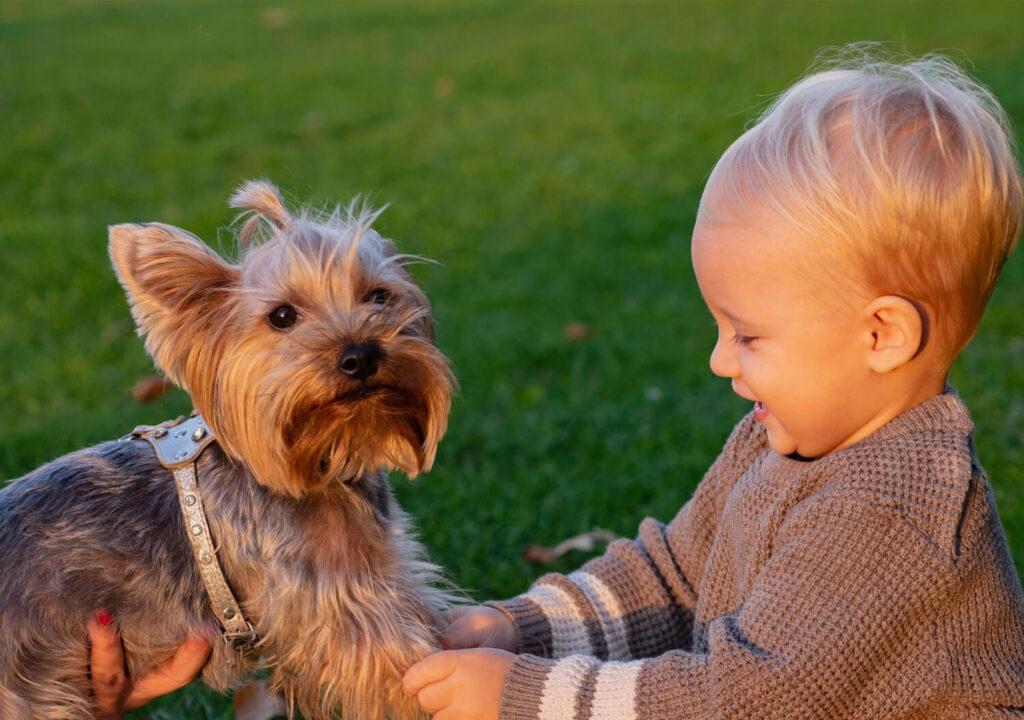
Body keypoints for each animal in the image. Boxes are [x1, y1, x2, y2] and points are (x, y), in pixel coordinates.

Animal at [0, 181, 456, 720]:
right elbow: (398, 676)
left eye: (379, 296)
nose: (360, 355)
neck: (325, 459)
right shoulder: (341, 618)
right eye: (282, 316)